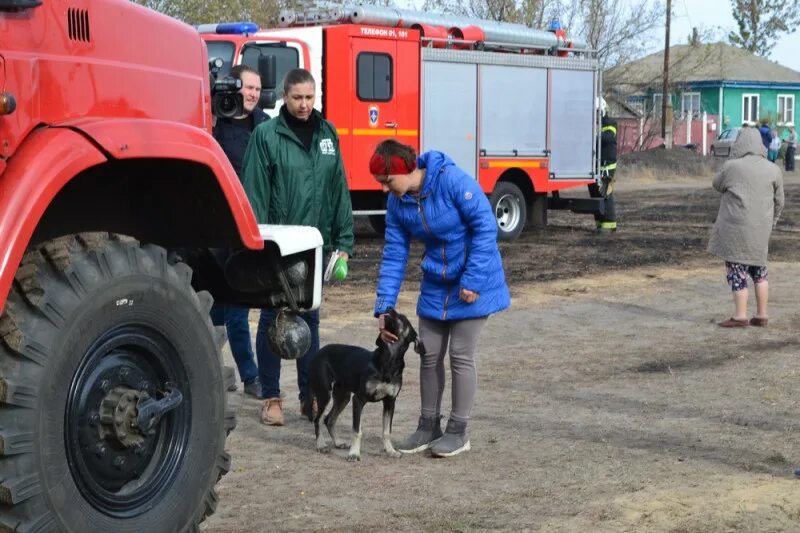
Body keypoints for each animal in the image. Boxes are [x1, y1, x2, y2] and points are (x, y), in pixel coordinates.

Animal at [308, 308, 424, 462]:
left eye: (403, 318)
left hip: (343, 397)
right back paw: (321, 445)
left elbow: (387, 431)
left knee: (329, 419)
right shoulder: (358, 400)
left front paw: (391, 451)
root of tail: (319, 352)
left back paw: (338, 443)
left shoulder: (390, 401)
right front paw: (354, 454)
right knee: (318, 419)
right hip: (324, 394)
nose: (388, 308)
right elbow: (357, 431)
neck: (388, 361)